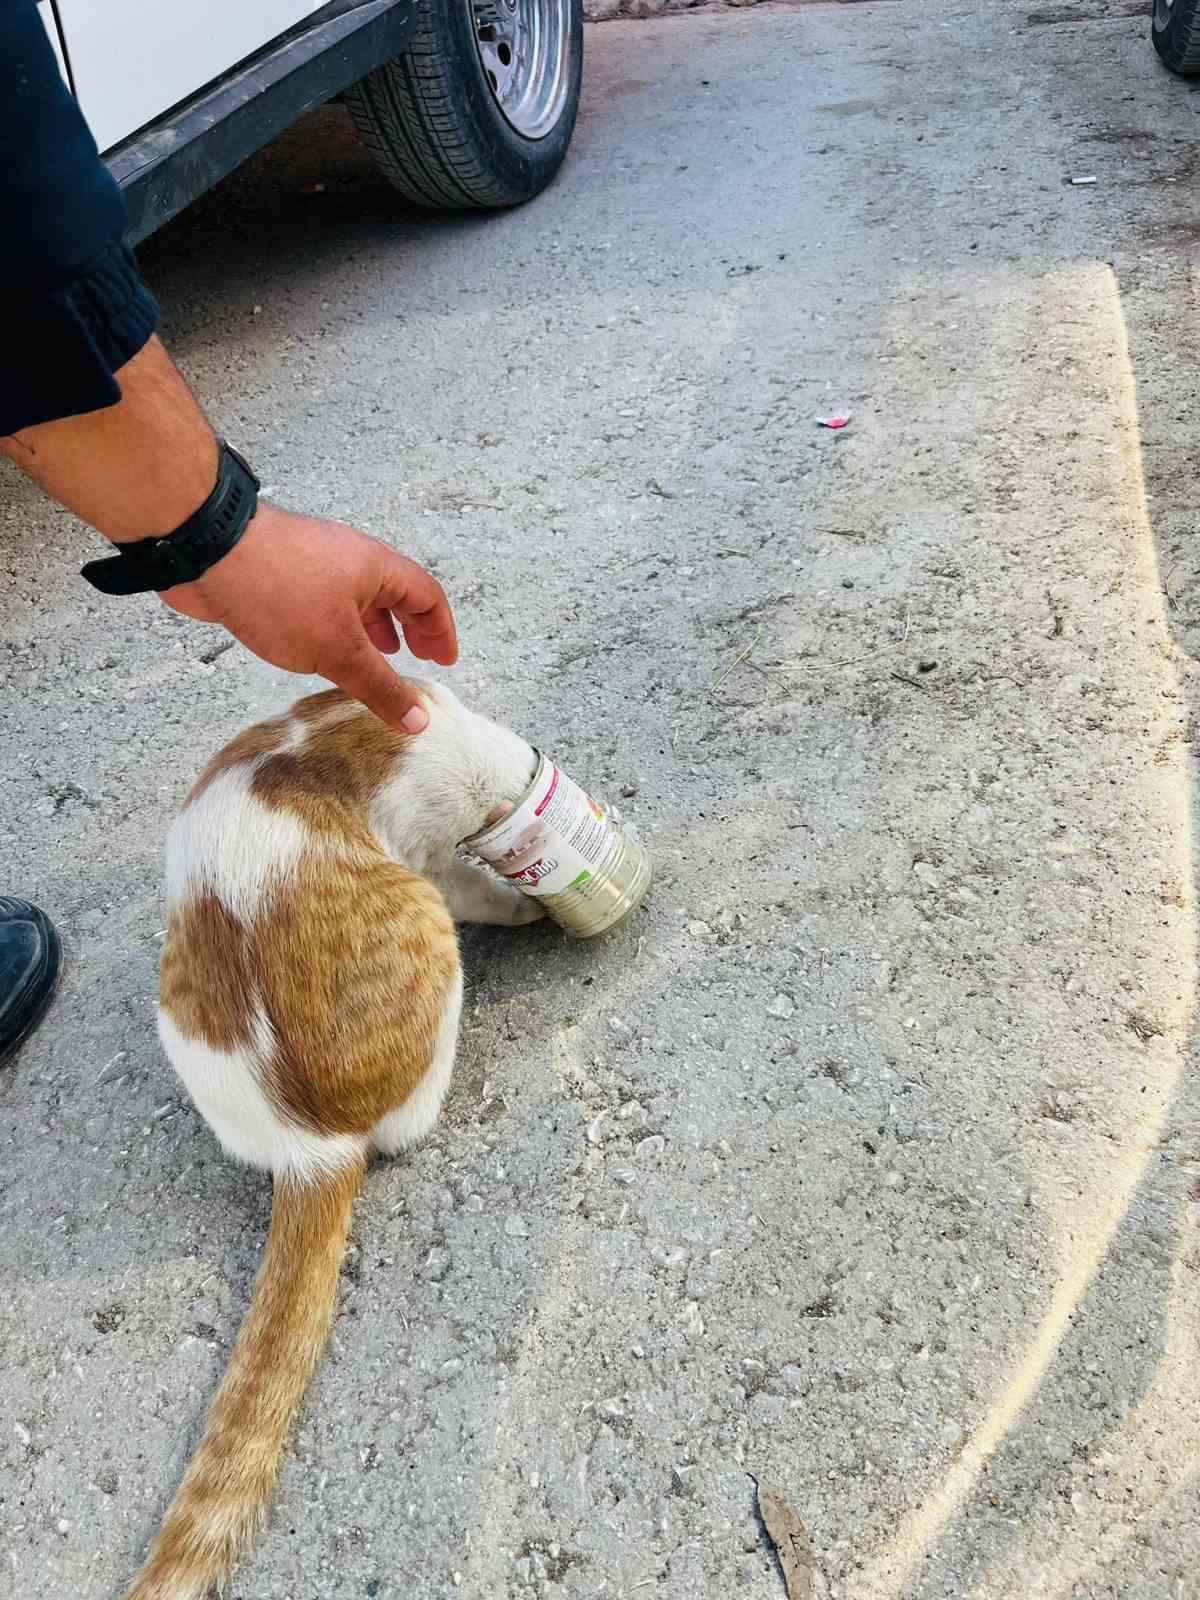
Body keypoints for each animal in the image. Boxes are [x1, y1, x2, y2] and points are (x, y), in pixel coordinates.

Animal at [120, 678, 540, 1600]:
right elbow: (476, 882)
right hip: (429, 934)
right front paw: (528, 899)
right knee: (412, 1118)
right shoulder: (434, 854)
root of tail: (307, 1144)